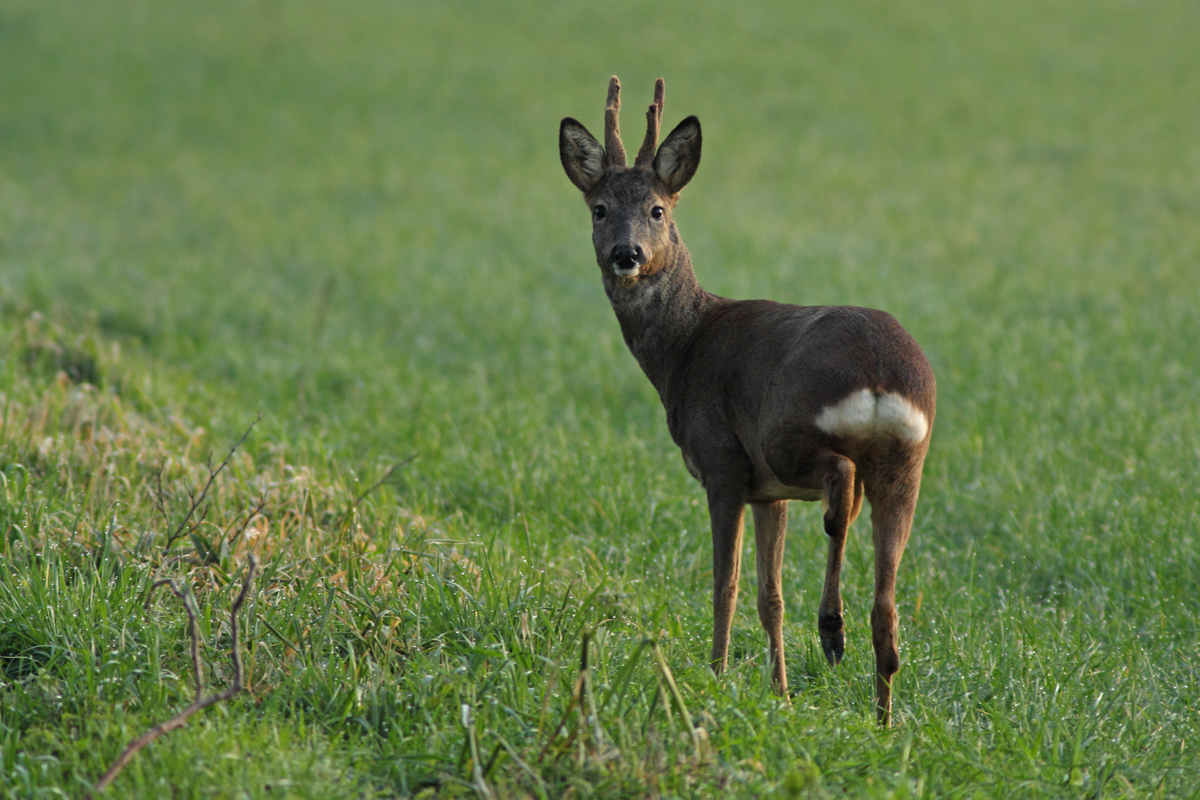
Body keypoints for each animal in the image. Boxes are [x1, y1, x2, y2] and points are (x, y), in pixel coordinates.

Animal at [561, 79, 936, 724]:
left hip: (784, 431)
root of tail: (880, 373)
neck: (683, 348)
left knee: (841, 489)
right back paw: (883, 717)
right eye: (599, 208)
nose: (626, 254)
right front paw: (780, 692)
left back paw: (831, 629)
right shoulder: (770, 493)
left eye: (658, 209)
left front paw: (715, 674)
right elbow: (770, 594)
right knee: (884, 605)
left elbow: (726, 584)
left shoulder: (724, 464)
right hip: (905, 463)